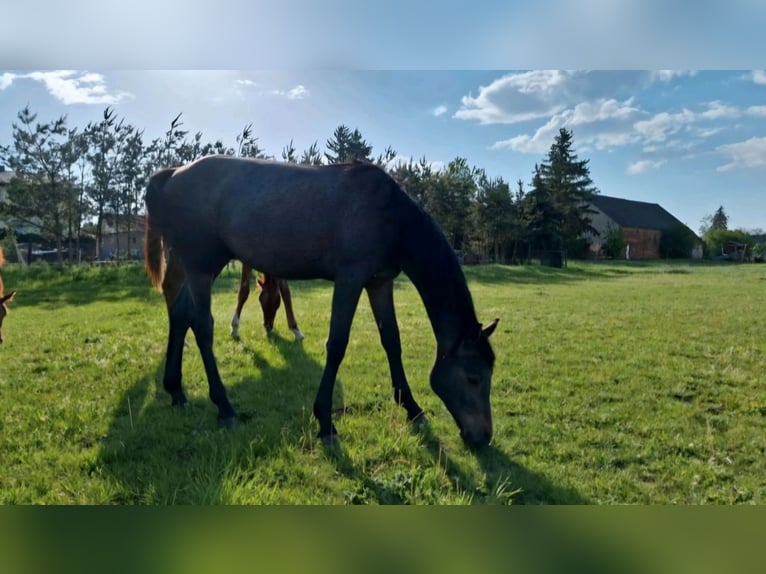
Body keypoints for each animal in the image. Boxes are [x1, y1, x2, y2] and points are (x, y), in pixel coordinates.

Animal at [145, 156, 500, 450]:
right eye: (473, 377)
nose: (483, 436)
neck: (390, 216)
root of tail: (172, 174)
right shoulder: (349, 281)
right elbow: (337, 344)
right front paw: (326, 422)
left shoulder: (379, 283)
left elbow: (392, 341)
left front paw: (411, 407)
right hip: (201, 268)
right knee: (202, 326)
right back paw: (225, 407)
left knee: (180, 314)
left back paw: (176, 390)